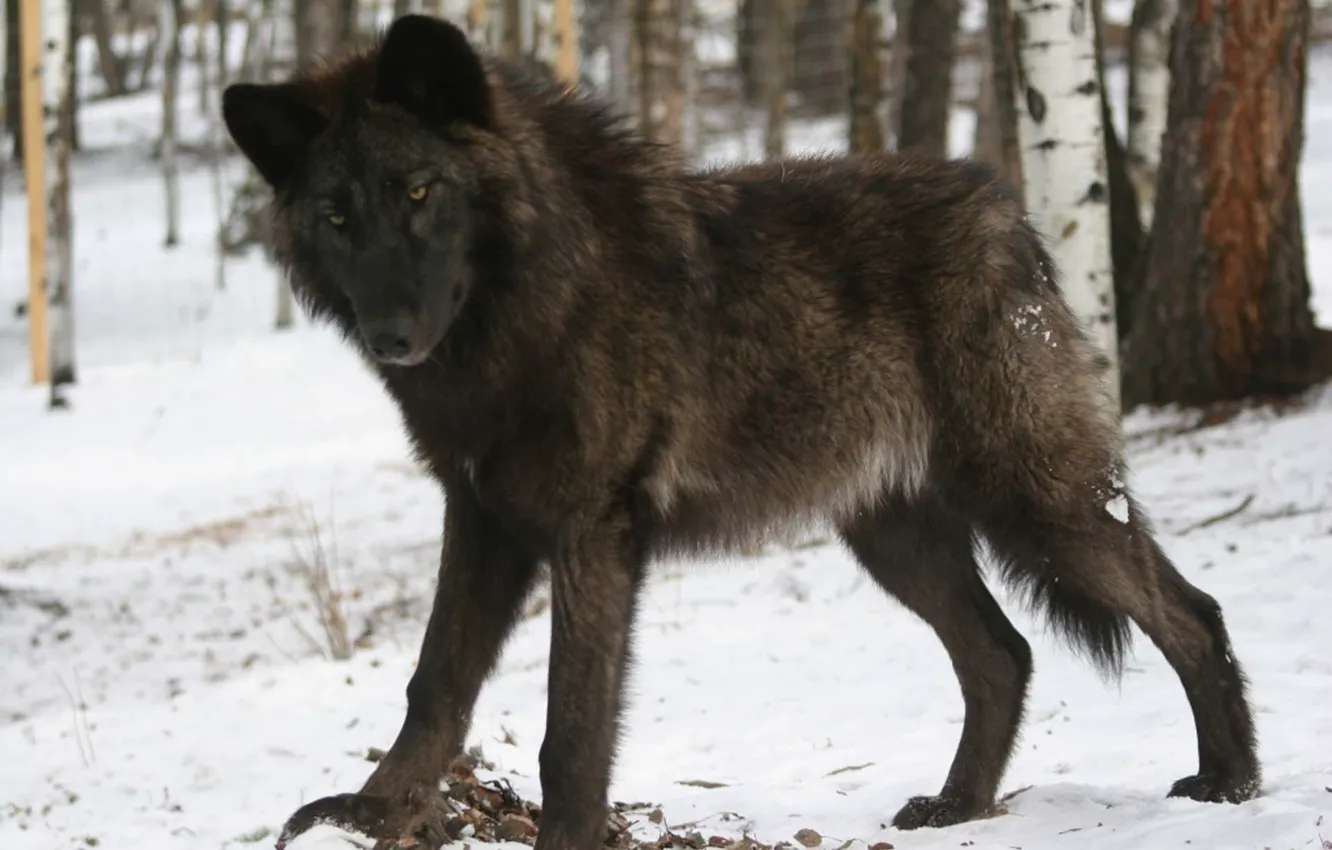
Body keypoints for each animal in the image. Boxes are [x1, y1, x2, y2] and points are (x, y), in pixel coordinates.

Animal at [222, 14, 1261, 850]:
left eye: (420, 192)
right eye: (337, 215)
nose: (390, 334)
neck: (534, 307)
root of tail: (1006, 209)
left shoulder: (593, 533)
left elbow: (572, 729)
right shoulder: (481, 520)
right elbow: (432, 686)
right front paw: (368, 818)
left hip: (1038, 506)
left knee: (1193, 614)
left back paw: (1231, 783)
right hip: (895, 538)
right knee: (1003, 655)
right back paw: (957, 807)